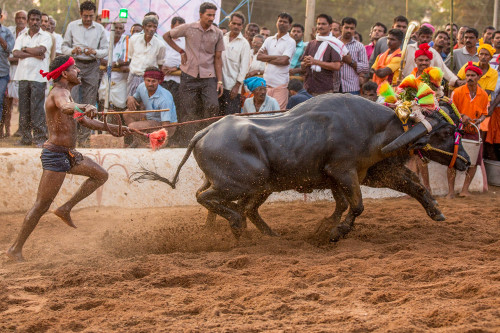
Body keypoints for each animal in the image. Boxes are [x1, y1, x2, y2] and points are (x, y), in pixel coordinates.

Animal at [132, 93, 468, 241]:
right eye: (444, 133)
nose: (465, 160)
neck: (373, 126)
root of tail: (204, 132)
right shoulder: (345, 173)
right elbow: (356, 205)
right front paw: (336, 232)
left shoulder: (370, 173)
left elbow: (413, 184)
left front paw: (436, 211)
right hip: (242, 183)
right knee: (211, 200)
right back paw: (237, 226)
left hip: (259, 186)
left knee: (241, 208)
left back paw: (265, 234)